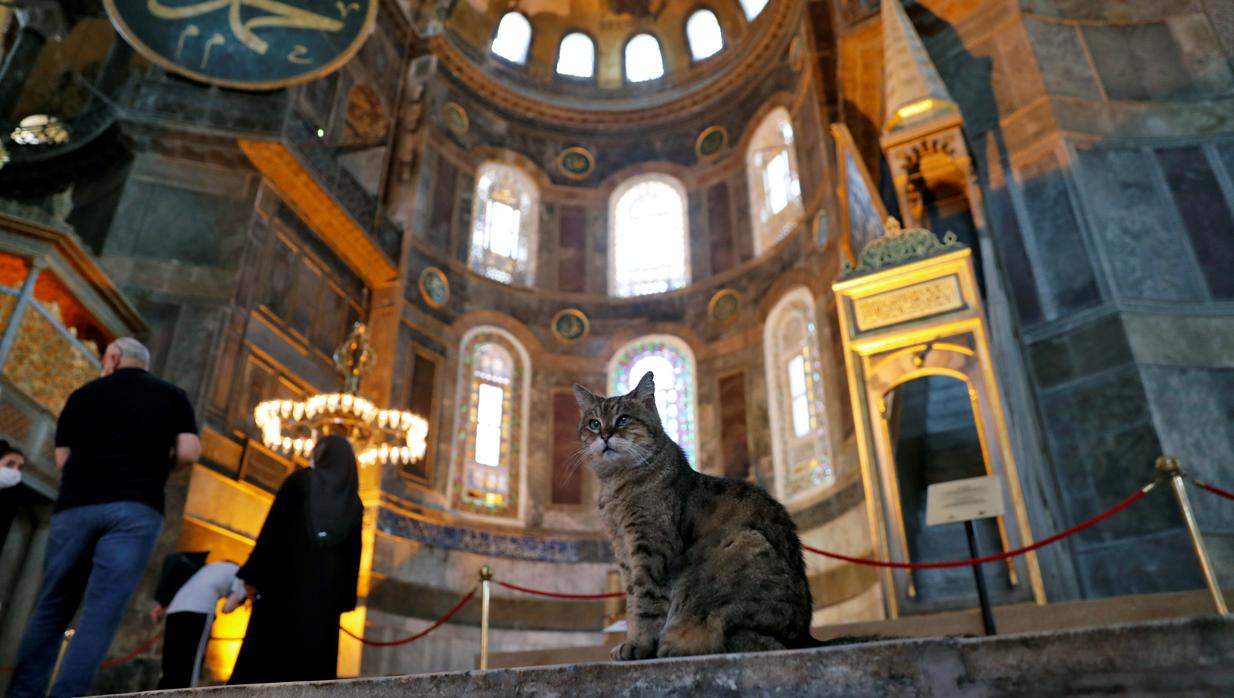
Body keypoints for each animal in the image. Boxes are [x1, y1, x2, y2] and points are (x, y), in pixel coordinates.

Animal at [572, 372, 814, 661]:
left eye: (623, 419)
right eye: (594, 424)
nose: (605, 435)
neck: (616, 485)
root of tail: (806, 636)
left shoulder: (650, 547)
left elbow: (645, 601)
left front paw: (639, 645)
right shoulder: (623, 552)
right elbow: (632, 600)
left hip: (743, 547)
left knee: (756, 642)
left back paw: (676, 646)